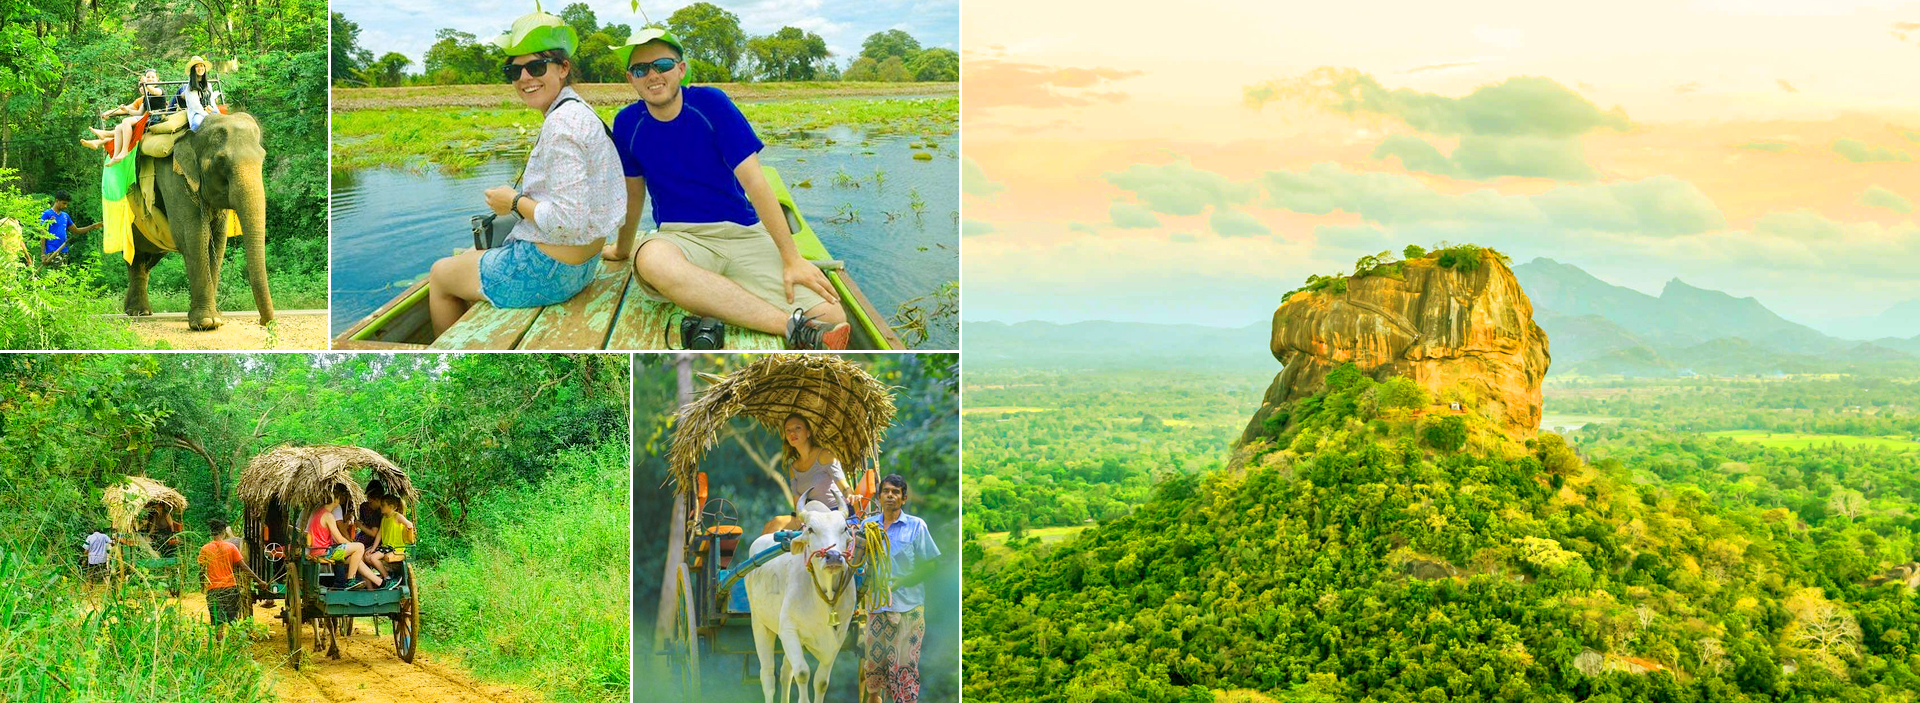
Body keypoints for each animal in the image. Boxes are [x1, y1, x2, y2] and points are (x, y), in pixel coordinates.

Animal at [122, 110, 270, 330]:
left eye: (263, 158)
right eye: (221, 161)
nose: (264, 322)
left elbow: (217, 240)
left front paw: (216, 318)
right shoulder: (172, 175)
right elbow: (193, 236)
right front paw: (207, 322)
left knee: (148, 259)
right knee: (135, 256)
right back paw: (137, 312)